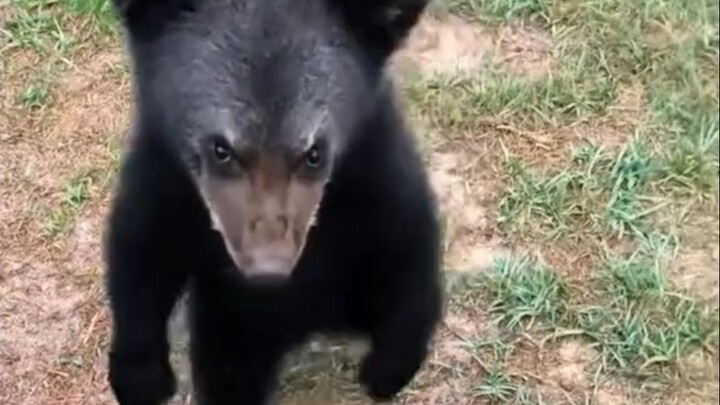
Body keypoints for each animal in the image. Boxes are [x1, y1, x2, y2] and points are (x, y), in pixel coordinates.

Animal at [104, 0, 444, 404]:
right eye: (221, 150)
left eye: (314, 153)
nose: (268, 272)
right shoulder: (162, 176)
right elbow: (141, 253)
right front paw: (139, 374)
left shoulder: (376, 172)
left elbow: (409, 247)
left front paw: (392, 364)